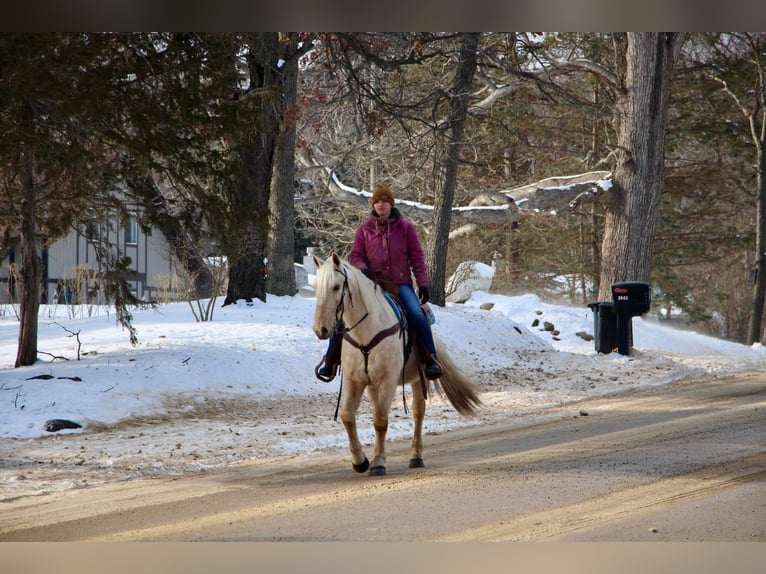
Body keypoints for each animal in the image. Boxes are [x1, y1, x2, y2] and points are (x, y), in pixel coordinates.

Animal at [310, 255, 480, 476]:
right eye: (315, 287)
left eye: (336, 287)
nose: (320, 329)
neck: (366, 332)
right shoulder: (353, 380)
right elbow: (347, 416)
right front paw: (360, 461)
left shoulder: (388, 380)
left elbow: (381, 420)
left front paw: (378, 462)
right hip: (372, 386)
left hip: (420, 378)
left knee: (418, 412)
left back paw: (416, 456)